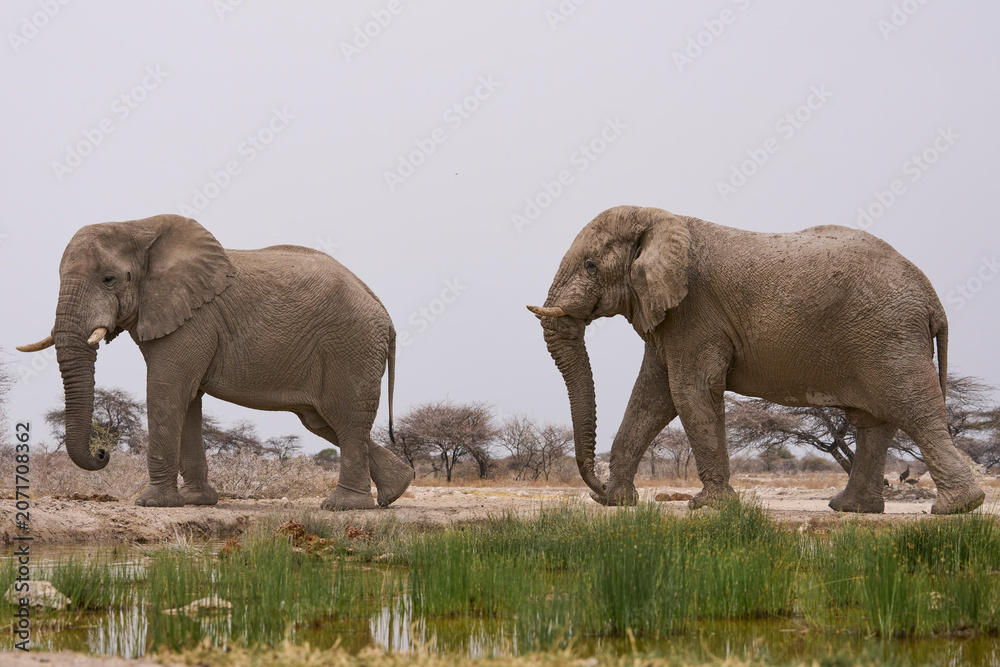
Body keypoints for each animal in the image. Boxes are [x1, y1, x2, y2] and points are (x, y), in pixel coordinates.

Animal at [18, 214, 413, 510]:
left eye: (109, 279)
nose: (103, 452)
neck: (138, 226)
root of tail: (384, 312)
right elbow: (188, 399)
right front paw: (197, 501)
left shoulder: (194, 319)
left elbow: (166, 391)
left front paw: (152, 503)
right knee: (325, 421)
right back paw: (395, 491)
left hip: (351, 347)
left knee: (346, 419)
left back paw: (343, 506)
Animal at [528, 205, 985, 515]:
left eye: (590, 265)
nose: (594, 487)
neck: (659, 219)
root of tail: (933, 300)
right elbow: (652, 397)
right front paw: (618, 503)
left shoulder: (695, 311)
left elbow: (688, 391)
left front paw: (708, 507)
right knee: (875, 421)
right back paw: (851, 508)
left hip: (889, 335)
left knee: (912, 409)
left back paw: (957, 507)